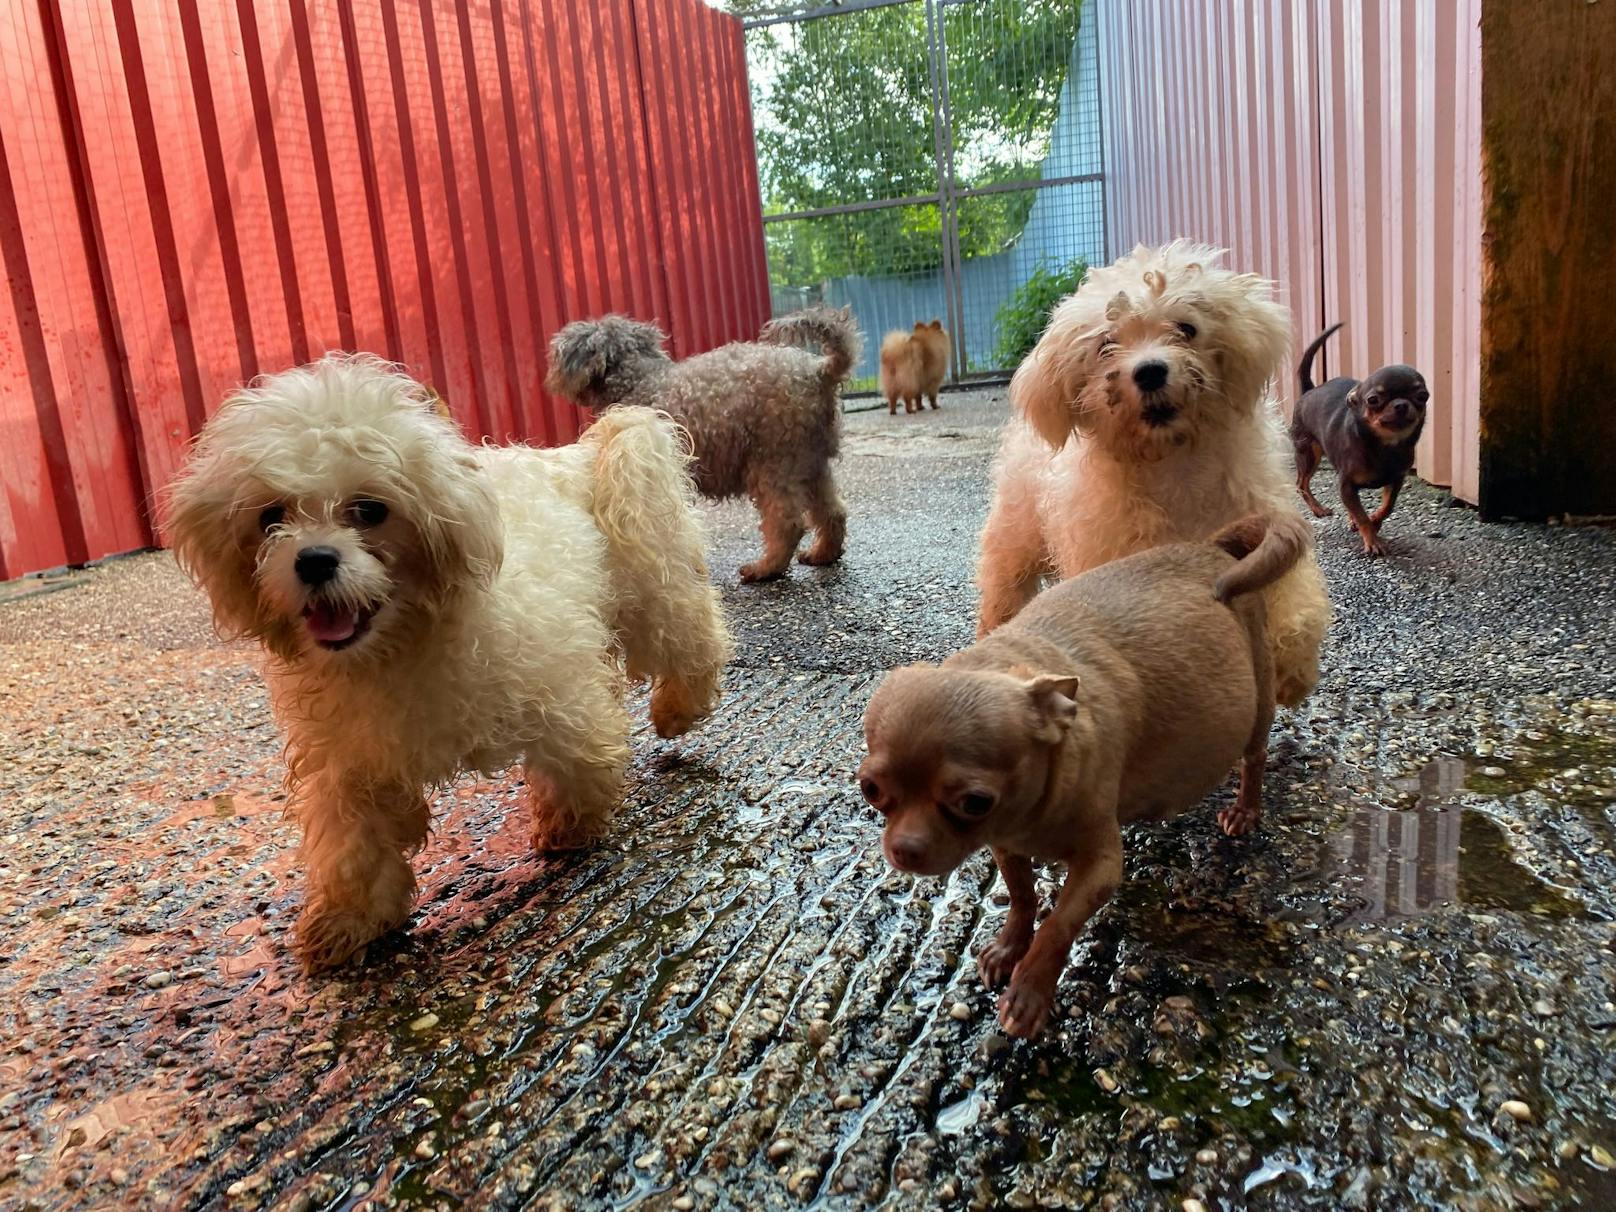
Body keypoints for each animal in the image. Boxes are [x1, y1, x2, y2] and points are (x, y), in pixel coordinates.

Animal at [160, 355, 730, 976]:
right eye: (270, 516)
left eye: (370, 509)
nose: (312, 560)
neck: (404, 647)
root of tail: (577, 453)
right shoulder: (352, 763)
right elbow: (353, 846)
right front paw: (347, 920)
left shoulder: (557, 692)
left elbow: (578, 758)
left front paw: (573, 826)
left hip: (649, 586)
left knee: (695, 635)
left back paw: (679, 707)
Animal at [542, 308, 866, 584]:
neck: (639, 380)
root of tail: (818, 372)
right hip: (810, 463)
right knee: (833, 511)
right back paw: (822, 554)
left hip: (773, 463)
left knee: (787, 522)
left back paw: (765, 569)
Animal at [976, 242, 1331, 707]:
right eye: (1106, 344)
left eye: (1186, 327)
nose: (1149, 371)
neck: (1174, 467)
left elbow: (1293, 599)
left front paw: (1292, 668)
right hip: (1014, 541)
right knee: (1003, 591)